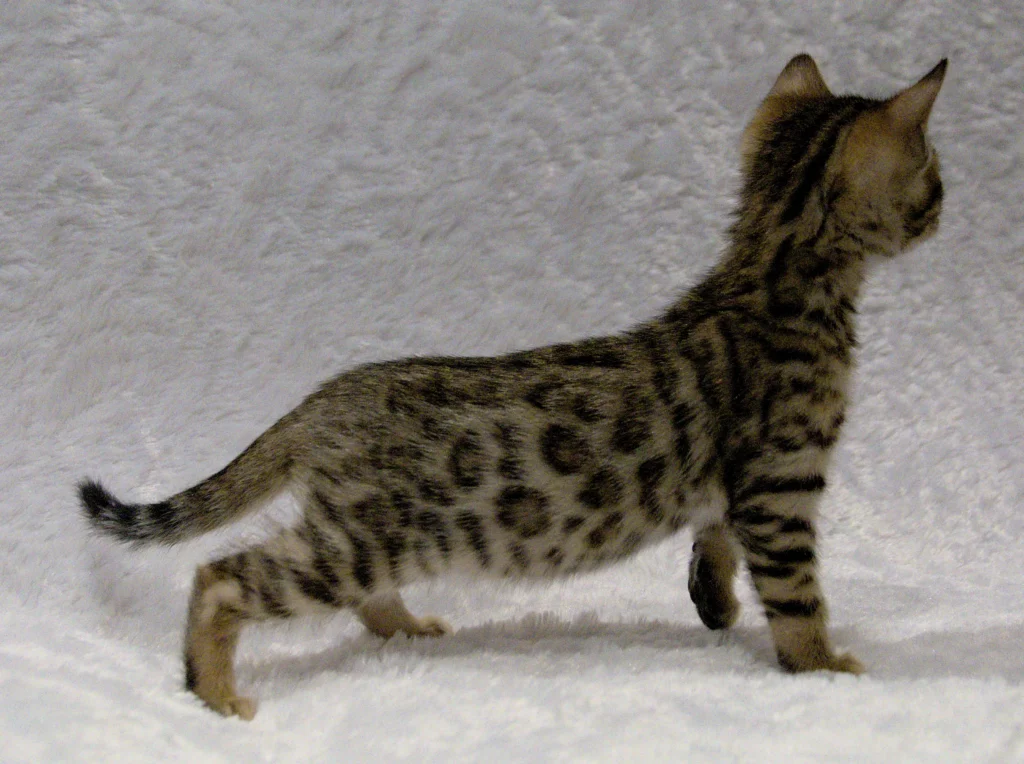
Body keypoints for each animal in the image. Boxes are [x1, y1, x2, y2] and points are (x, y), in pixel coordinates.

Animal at [79, 54, 946, 719]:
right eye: (934, 177)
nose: (947, 207)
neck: (768, 277)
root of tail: (324, 400)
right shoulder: (781, 488)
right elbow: (798, 596)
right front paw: (822, 665)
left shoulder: (741, 488)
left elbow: (714, 541)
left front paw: (716, 603)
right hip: (360, 540)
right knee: (222, 577)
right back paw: (214, 692)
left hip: (370, 537)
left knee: (356, 597)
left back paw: (406, 630)